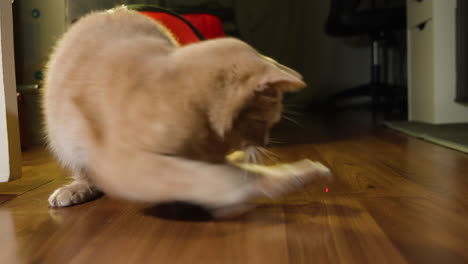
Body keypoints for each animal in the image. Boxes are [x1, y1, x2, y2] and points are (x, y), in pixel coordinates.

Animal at [43, 7, 330, 217]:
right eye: (264, 122)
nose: (265, 142)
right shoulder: (121, 163)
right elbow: (220, 179)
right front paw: (292, 176)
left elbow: (224, 171)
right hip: (63, 140)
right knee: (85, 172)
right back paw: (76, 189)